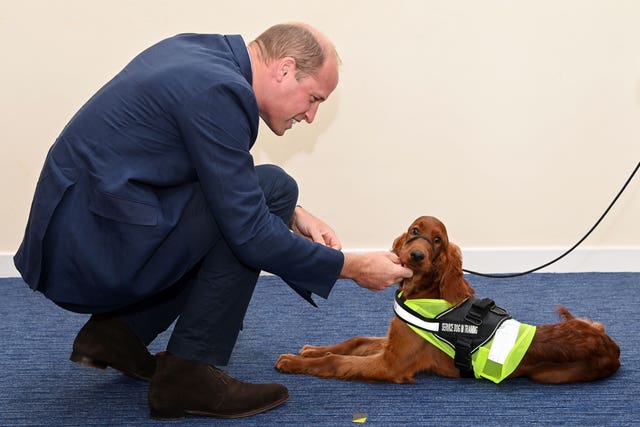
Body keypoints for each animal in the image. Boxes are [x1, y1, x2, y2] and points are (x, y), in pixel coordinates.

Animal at [276, 216, 620, 386]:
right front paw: (312, 350)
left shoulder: (391, 365)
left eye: (437, 240)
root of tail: (612, 347)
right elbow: (355, 340)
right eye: (415, 231)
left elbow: (336, 361)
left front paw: (294, 362)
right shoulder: (393, 342)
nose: (416, 255)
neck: (423, 292)